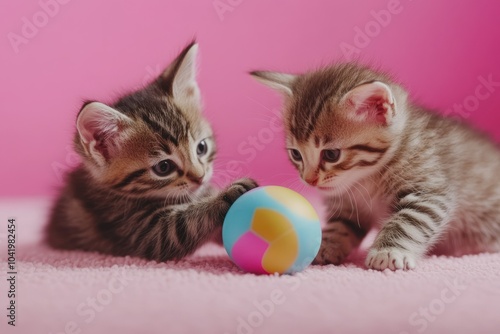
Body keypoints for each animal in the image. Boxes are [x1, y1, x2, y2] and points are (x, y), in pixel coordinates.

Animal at [47, 41, 258, 260]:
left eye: (202, 147)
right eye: (163, 167)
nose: (200, 177)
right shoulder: (137, 228)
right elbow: (184, 224)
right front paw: (230, 192)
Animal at [252, 64, 500, 270]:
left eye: (331, 154)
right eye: (296, 154)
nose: (309, 180)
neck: (366, 178)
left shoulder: (429, 190)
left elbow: (408, 221)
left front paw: (388, 252)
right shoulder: (349, 206)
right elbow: (341, 226)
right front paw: (325, 245)